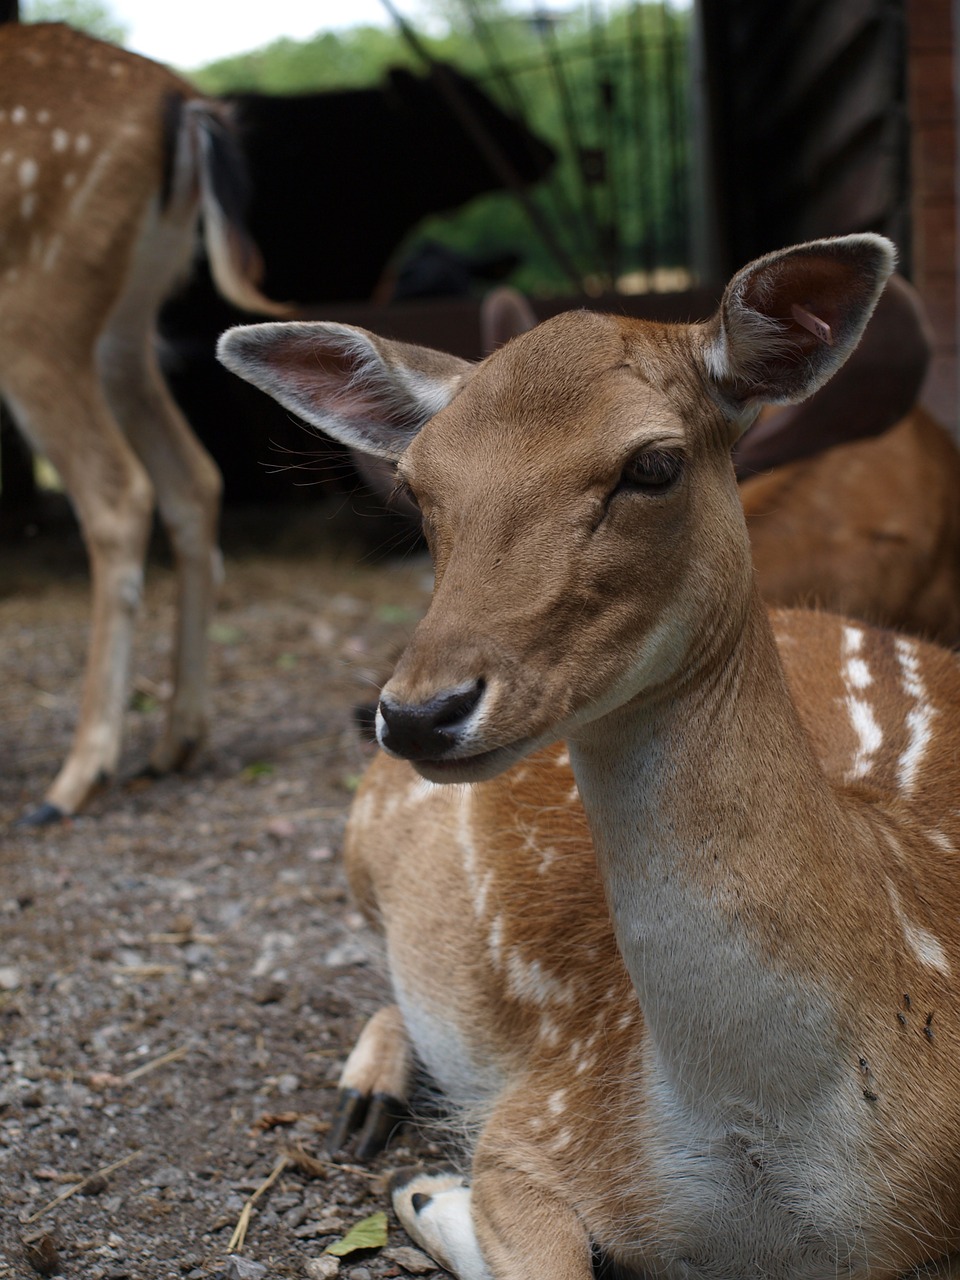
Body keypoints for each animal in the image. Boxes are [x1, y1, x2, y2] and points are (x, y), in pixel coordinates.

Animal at [0, 24, 285, 824]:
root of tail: (185, 104)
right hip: (126, 318)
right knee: (195, 477)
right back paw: (173, 743)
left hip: (38, 299)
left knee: (118, 491)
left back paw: (75, 778)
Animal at [220, 232, 960, 1280]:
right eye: (417, 485)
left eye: (653, 464)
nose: (415, 713)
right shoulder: (547, 1116)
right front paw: (427, 1193)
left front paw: (425, 1194)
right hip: (362, 841)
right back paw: (365, 1105)